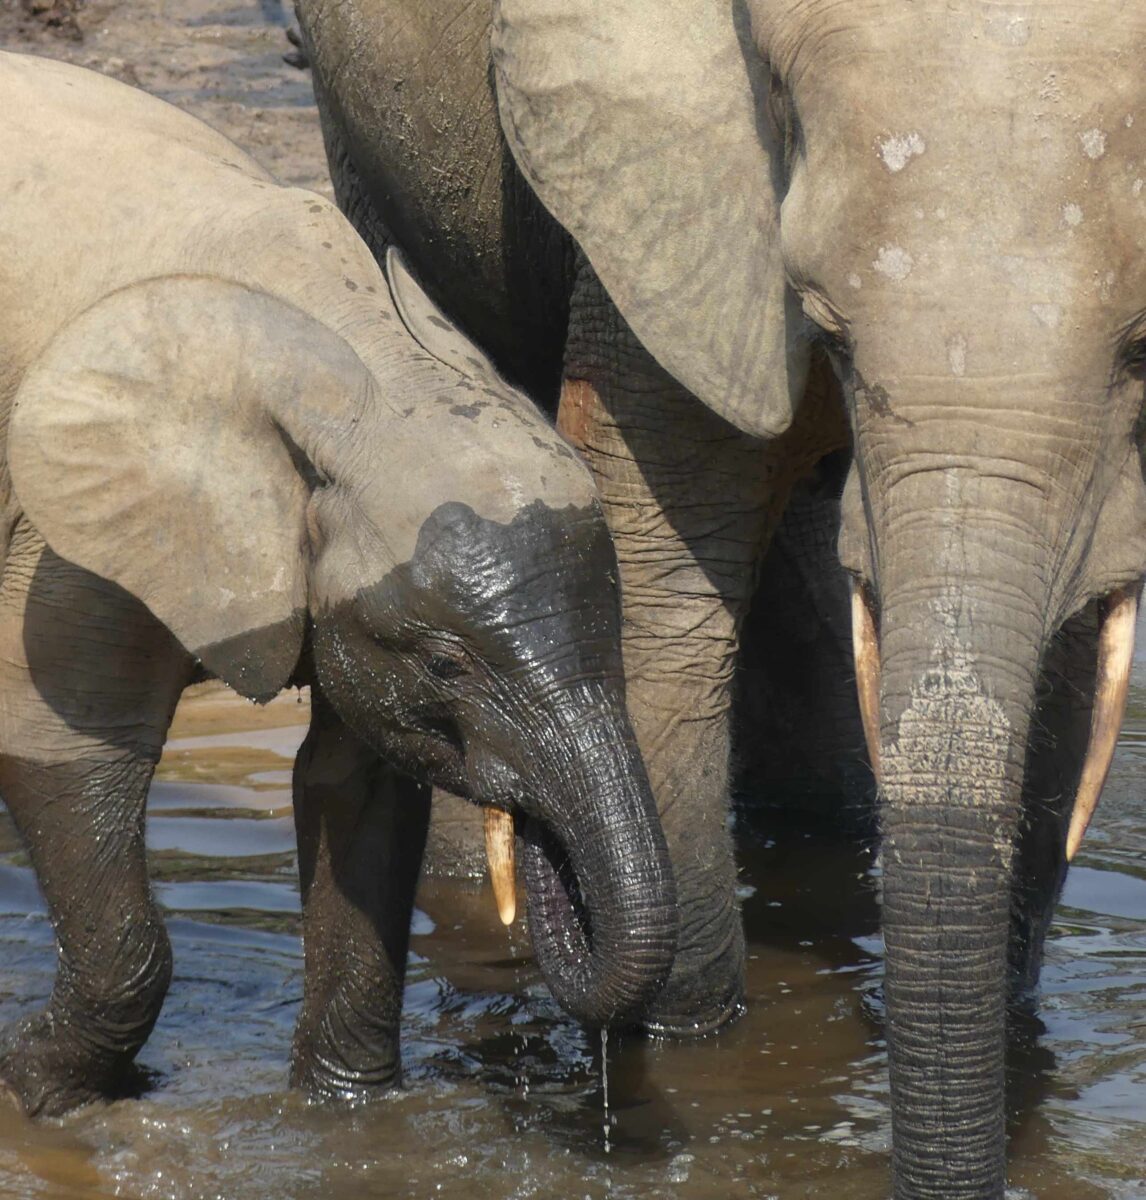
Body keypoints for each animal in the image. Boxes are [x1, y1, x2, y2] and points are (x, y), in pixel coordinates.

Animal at [0, 46, 681, 1113]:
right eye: (446, 665)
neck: (355, 358)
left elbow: (357, 786)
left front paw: (344, 1115)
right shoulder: (72, 532)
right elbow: (64, 748)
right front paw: (43, 1096)